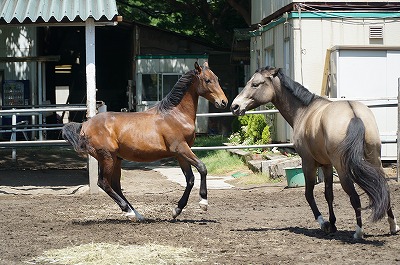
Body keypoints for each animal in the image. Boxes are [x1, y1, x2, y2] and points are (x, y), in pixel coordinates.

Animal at [64, 61, 230, 219]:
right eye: (207, 80)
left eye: (217, 79)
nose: (224, 102)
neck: (176, 115)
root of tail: (85, 124)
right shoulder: (181, 148)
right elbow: (202, 167)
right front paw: (203, 203)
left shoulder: (181, 154)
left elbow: (190, 179)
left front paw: (176, 210)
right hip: (107, 157)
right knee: (104, 183)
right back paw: (129, 212)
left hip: (116, 159)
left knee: (116, 185)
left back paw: (136, 214)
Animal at [230, 65, 398, 237]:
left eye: (255, 84)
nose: (235, 106)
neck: (304, 111)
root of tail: (353, 114)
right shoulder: (327, 165)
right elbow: (328, 194)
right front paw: (332, 224)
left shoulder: (308, 163)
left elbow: (309, 194)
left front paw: (324, 223)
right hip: (374, 161)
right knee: (384, 189)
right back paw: (393, 226)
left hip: (343, 169)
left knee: (354, 197)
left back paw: (358, 232)